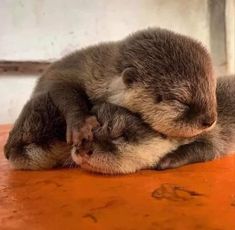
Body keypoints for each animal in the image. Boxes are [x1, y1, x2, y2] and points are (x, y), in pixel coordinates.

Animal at [32, 26, 218, 146]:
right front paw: (81, 124)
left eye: (212, 91)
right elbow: (60, 85)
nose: (209, 120)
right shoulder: (76, 70)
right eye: (180, 101)